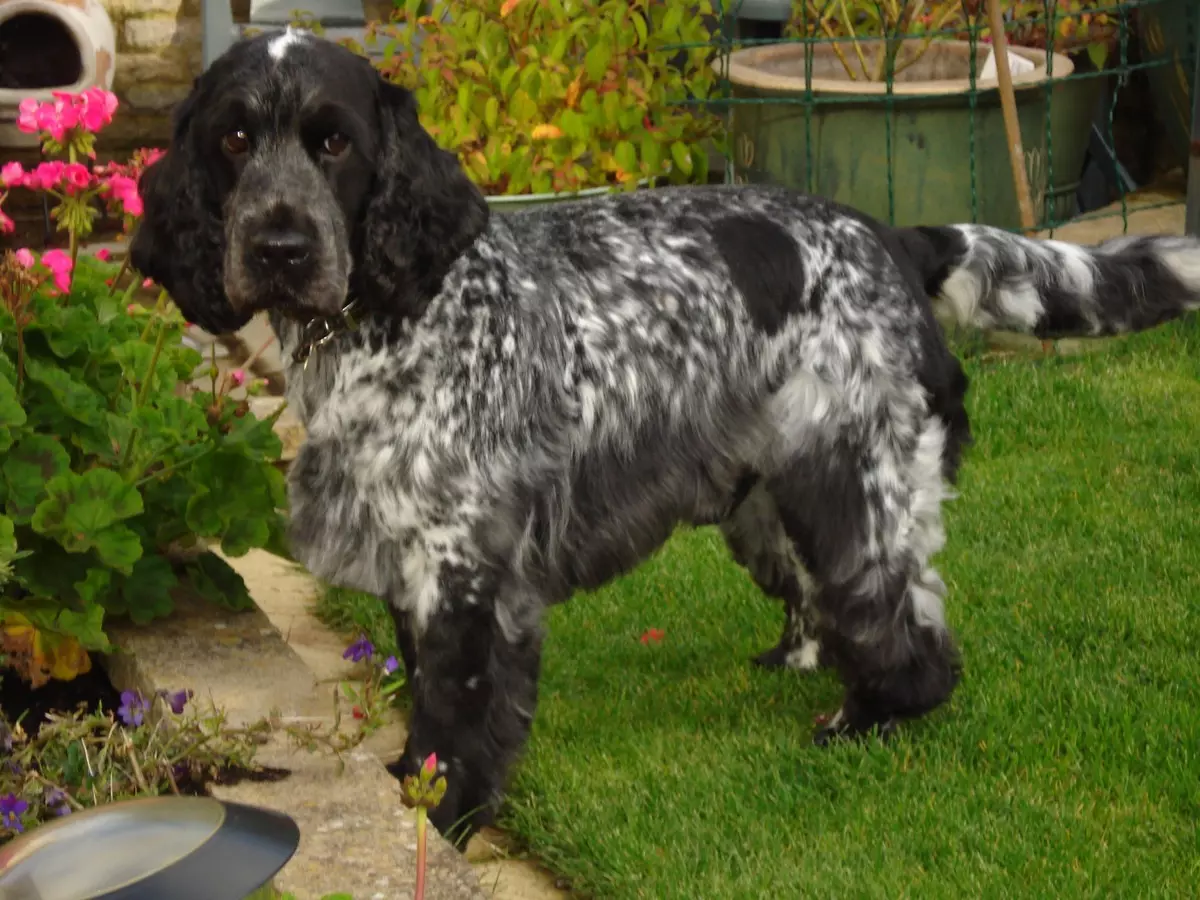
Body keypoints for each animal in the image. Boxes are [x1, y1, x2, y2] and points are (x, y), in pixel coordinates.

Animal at [129, 28, 1200, 844]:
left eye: (335, 143)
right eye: (233, 139)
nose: (278, 247)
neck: (397, 315)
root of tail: (896, 238)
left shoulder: (466, 567)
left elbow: (455, 717)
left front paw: (436, 821)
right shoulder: (414, 555)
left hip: (852, 478)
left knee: (907, 632)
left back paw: (862, 722)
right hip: (765, 501)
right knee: (824, 608)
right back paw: (795, 667)